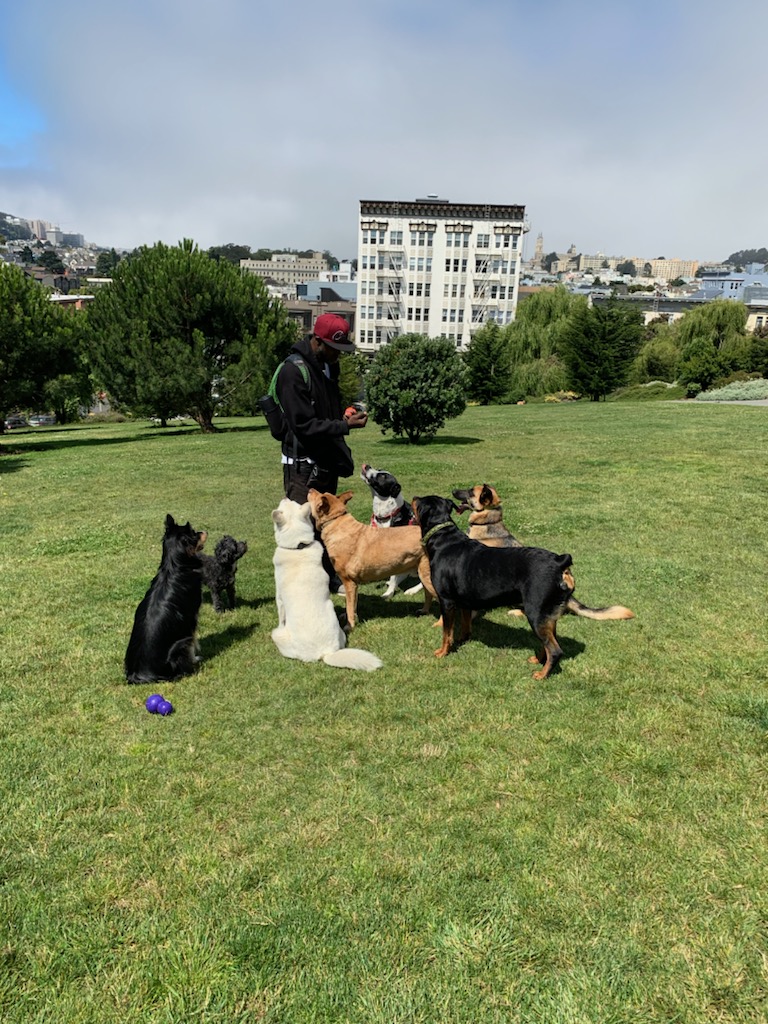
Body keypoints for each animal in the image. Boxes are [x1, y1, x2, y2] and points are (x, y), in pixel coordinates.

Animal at [125, 514, 207, 683]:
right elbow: (193, 641)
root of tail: (138, 675)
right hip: (179, 646)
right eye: (194, 533)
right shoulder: (191, 618)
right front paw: (195, 658)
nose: (204, 531)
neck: (174, 566)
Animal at [271, 498, 382, 670]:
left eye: (283, 506)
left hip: (277, 635)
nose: (285, 498)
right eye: (294, 503)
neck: (298, 547)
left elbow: (281, 615)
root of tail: (325, 652)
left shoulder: (279, 599)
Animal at [307, 489, 435, 630]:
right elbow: (352, 605)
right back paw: (424, 610)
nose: (311, 489)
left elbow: (350, 606)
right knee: (428, 594)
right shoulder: (353, 585)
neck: (336, 522)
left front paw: (349, 626)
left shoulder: (349, 582)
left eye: (318, 497)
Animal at [360, 463, 424, 599]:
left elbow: (394, 577)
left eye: (383, 476)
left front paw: (388, 594)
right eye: (379, 469)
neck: (386, 516)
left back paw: (412, 589)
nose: (367, 465)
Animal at [412, 495, 626, 679]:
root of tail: (560, 562)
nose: (413, 497)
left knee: (555, 650)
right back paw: (539, 660)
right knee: (550, 641)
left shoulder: (447, 601)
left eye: (419, 501)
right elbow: (465, 625)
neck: (443, 537)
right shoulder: (465, 601)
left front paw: (442, 652)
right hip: (548, 614)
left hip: (535, 612)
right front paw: (463, 641)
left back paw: (542, 675)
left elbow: (446, 633)